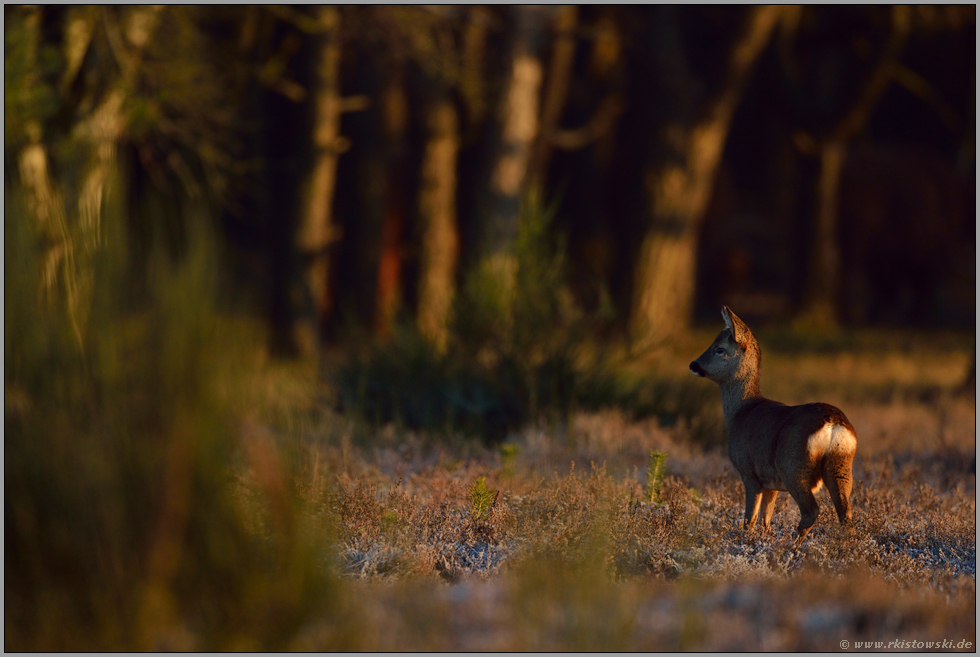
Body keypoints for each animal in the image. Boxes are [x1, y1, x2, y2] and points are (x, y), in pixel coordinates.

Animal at [688, 308, 856, 544]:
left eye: (719, 348)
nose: (693, 364)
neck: (740, 411)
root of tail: (833, 424)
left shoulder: (749, 472)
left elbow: (749, 519)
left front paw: (746, 542)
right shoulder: (771, 483)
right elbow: (765, 520)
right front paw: (764, 538)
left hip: (793, 465)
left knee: (811, 510)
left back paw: (790, 547)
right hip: (841, 464)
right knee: (845, 512)